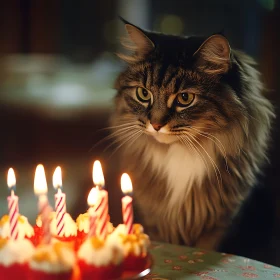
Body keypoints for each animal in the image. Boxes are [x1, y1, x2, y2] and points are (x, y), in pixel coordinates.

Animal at [109, 18, 274, 250]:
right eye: (143, 94)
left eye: (185, 98)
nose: (156, 124)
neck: (182, 151)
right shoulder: (155, 221)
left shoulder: (220, 224)